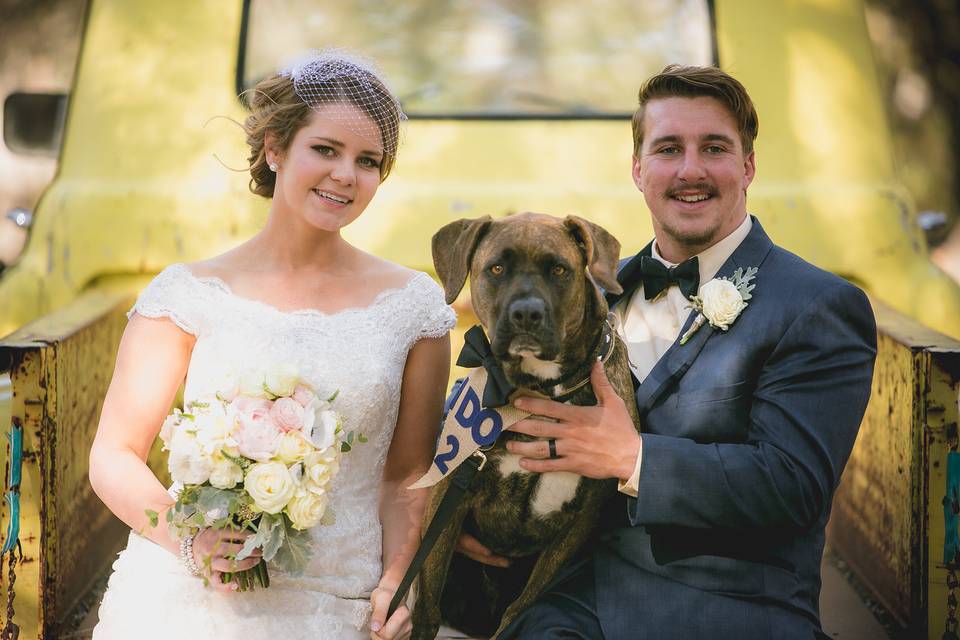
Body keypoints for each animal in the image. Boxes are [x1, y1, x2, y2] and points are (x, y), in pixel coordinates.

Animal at [410, 215, 640, 640]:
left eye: (560, 270)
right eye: (497, 268)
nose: (527, 314)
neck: (541, 389)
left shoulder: (579, 521)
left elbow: (520, 609)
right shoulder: (449, 492)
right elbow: (427, 601)